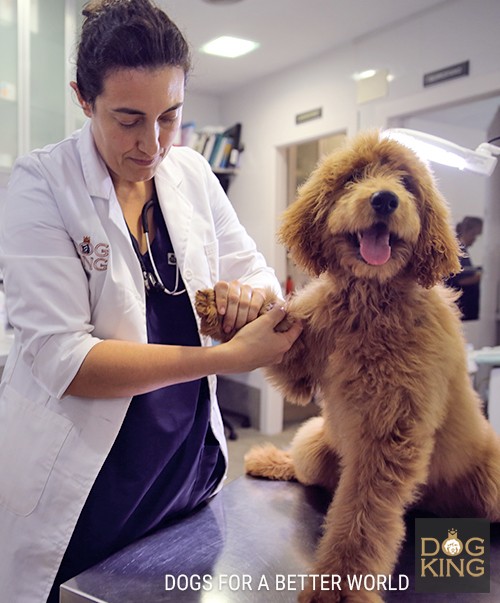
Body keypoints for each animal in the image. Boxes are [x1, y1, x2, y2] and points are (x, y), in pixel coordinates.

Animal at [194, 130, 500, 600]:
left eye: (407, 183)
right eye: (354, 177)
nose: (385, 199)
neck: (370, 300)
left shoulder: (389, 437)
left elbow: (362, 517)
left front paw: (338, 586)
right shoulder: (301, 357)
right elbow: (274, 321)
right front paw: (225, 305)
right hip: (316, 442)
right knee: (305, 469)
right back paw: (270, 458)